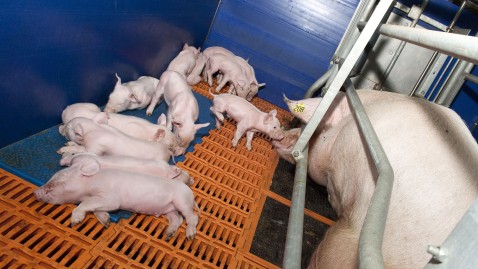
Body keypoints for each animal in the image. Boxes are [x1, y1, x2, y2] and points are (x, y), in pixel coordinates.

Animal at [32, 159, 199, 239]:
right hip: (169, 209)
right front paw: (106, 222)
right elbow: (96, 210)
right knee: (177, 219)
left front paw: (75, 222)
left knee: (192, 217)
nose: (35, 192)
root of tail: (190, 194)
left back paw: (190, 236)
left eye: (59, 180)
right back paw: (168, 235)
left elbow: (87, 204)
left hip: (182, 201)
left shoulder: (111, 198)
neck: (89, 185)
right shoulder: (102, 202)